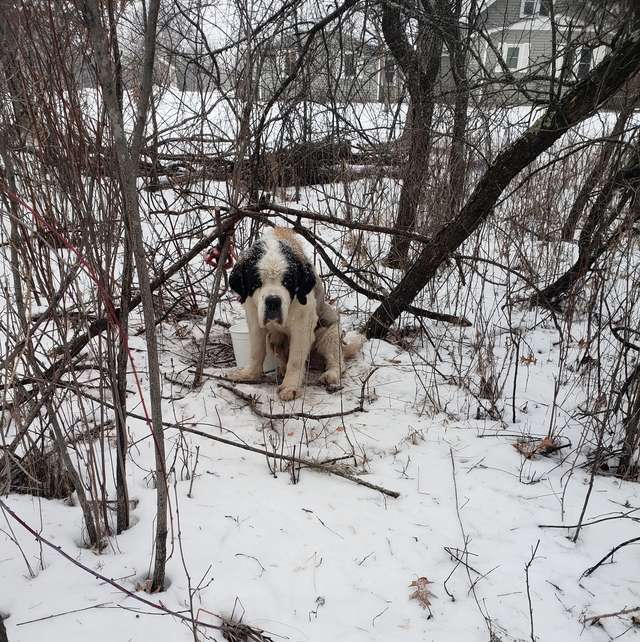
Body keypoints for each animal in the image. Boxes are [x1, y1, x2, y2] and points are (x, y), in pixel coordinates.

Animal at [228, 224, 362, 396]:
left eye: (287, 282)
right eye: (257, 283)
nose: (273, 301)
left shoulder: (302, 324)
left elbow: (296, 358)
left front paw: (289, 386)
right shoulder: (253, 315)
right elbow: (256, 350)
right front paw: (249, 374)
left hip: (330, 332)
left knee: (336, 359)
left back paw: (330, 374)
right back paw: (281, 369)